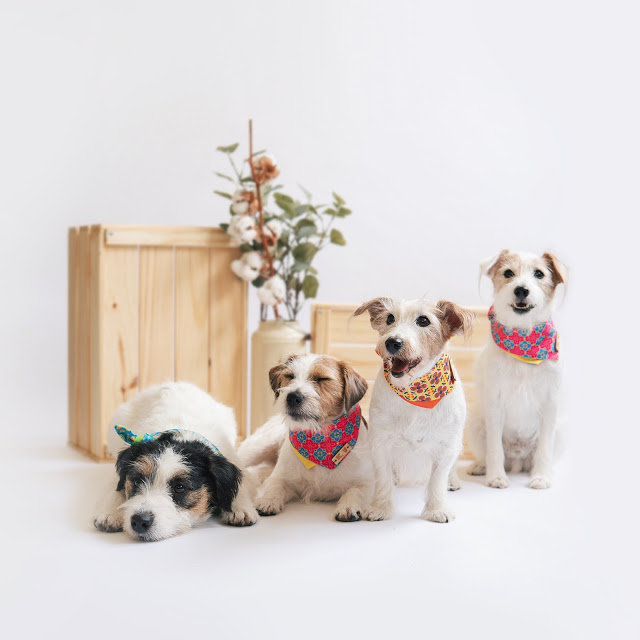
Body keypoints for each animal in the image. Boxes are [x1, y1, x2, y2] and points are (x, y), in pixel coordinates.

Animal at [93, 382, 258, 541]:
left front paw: (240, 508)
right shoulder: (117, 477)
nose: (139, 521)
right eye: (137, 481)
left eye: (179, 487)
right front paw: (111, 513)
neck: (182, 435)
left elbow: (241, 487)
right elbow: (116, 488)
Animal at [238, 354, 374, 522]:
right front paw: (267, 500)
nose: (292, 397)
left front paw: (348, 506)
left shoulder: (367, 482)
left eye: (322, 378)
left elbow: (355, 491)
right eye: (290, 376)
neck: (319, 440)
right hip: (257, 448)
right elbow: (275, 486)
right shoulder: (280, 477)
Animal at [354, 297, 474, 523]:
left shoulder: (447, 446)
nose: (392, 342)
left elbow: (437, 479)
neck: (415, 392)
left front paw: (437, 509)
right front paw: (380, 508)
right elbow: (383, 478)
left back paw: (453, 481)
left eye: (423, 320)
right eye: (390, 318)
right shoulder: (380, 443)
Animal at [466, 250, 566, 489]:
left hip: (560, 431)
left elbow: (545, 449)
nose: (521, 290)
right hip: (475, 425)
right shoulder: (495, 402)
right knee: (487, 453)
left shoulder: (551, 403)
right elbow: (494, 448)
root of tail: (517, 460)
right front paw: (496, 476)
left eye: (539, 274)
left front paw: (541, 477)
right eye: (508, 273)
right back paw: (481, 467)